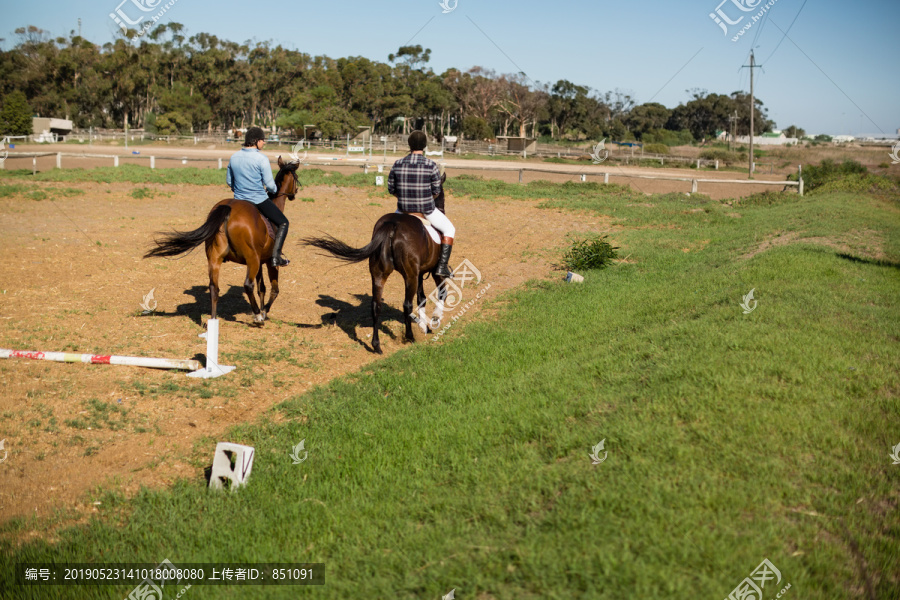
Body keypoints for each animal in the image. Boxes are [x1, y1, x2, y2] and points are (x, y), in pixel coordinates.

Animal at [144, 155, 298, 324]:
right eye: (296, 178)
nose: (295, 193)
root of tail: (228, 208)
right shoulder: (269, 262)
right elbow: (274, 289)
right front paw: (263, 312)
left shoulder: (262, 261)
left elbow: (262, 288)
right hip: (252, 260)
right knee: (248, 285)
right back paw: (258, 316)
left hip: (216, 258)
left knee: (214, 288)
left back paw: (213, 320)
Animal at [306, 172, 450, 352]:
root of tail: (392, 225)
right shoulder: (432, 272)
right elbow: (441, 293)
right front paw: (435, 320)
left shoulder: (420, 273)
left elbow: (422, 298)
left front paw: (424, 326)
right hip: (409, 276)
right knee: (407, 305)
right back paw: (409, 337)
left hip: (379, 274)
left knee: (376, 306)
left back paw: (377, 346)